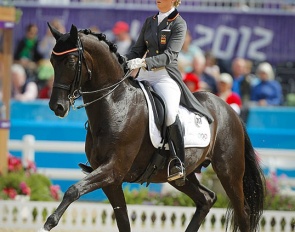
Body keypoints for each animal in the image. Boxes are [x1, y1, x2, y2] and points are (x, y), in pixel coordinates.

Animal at [40, 24, 266, 232]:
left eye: (70, 61)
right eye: (52, 61)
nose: (56, 106)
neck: (116, 103)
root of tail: (229, 110)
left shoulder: (113, 169)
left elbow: (73, 189)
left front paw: (50, 222)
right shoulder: (112, 181)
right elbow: (123, 221)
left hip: (230, 172)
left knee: (242, 213)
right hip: (180, 176)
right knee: (206, 199)